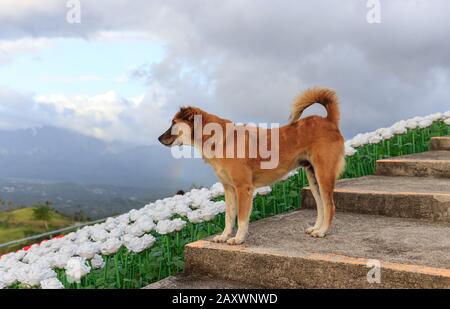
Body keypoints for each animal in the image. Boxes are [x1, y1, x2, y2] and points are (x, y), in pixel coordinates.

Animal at [158, 88, 344, 244]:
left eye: (173, 122)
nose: (159, 138)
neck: (220, 139)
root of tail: (329, 121)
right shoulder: (229, 189)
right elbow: (229, 216)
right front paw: (224, 236)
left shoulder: (243, 188)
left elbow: (241, 217)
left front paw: (238, 239)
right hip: (312, 176)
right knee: (321, 205)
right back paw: (316, 228)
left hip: (324, 174)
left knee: (330, 206)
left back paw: (323, 231)